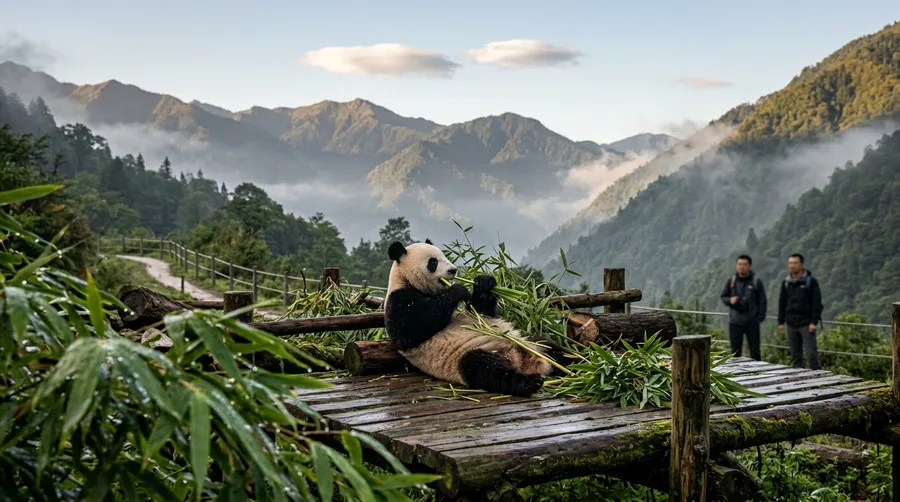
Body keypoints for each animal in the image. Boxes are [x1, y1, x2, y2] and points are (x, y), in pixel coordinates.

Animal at [383, 239, 566, 397]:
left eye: (445, 256)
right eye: (433, 262)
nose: (453, 270)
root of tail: (525, 362)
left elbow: (481, 311)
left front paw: (484, 282)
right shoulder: (398, 300)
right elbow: (410, 330)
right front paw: (458, 289)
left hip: (529, 343)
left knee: (549, 345)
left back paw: (570, 364)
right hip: (469, 357)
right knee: (483, 368)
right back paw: (530, 383)